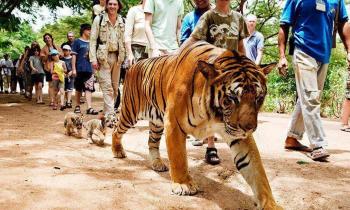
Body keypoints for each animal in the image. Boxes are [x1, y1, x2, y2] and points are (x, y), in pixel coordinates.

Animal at [112, 40, 282, 209]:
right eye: (232, 98)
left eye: (259, 98)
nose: (249, 128)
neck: (212, 115)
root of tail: (135, 64)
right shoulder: (173, 123)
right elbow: (178, 157)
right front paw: (183, 184)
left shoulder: (238, 136)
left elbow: (257, 170)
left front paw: (270, 204)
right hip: (130, 113)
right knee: (116, 129)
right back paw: (118, 151)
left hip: (156, 122)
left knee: (152, 142)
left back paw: (157, 163)